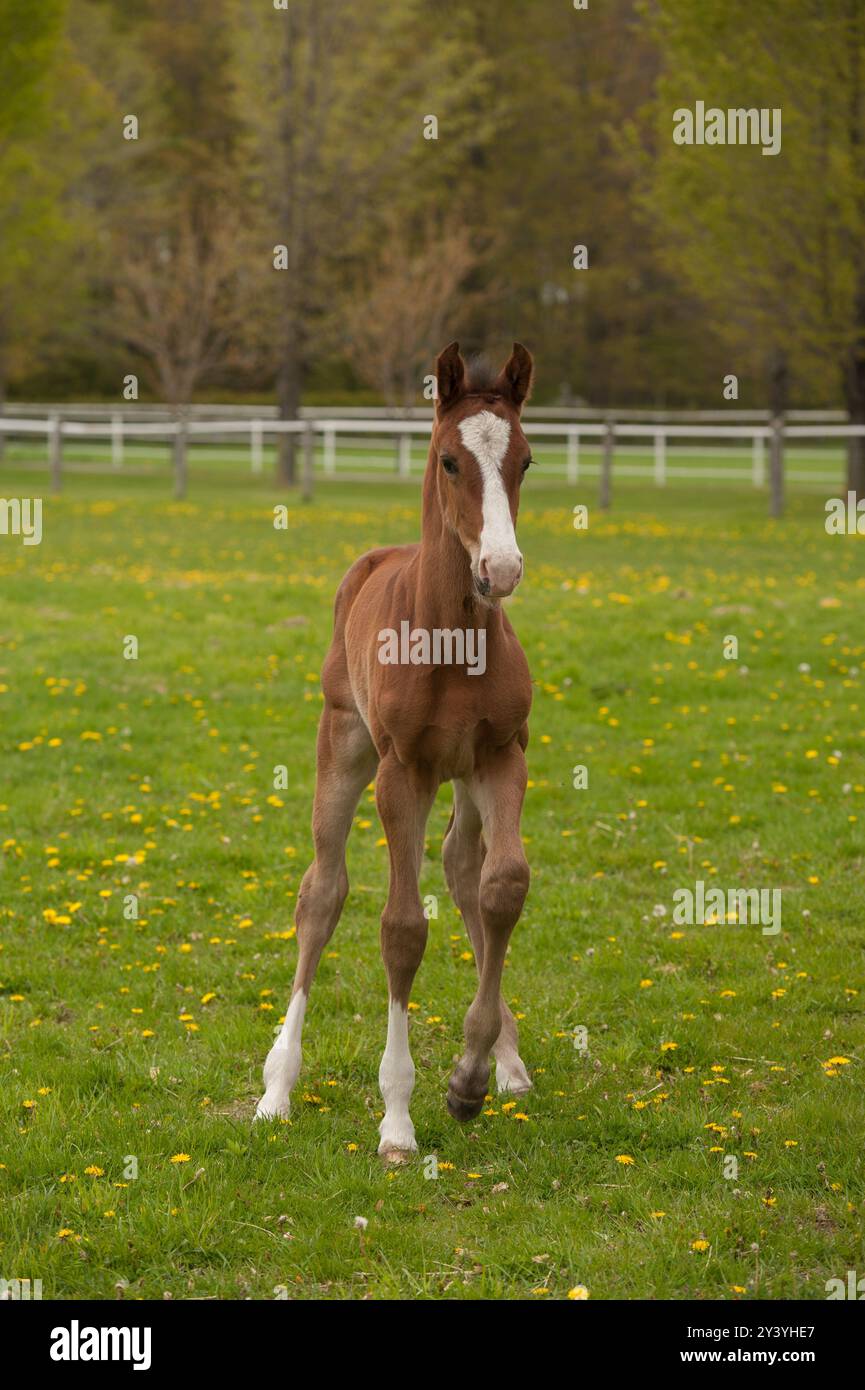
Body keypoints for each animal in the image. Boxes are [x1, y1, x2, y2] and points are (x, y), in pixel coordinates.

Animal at [255, 341, 535, 1158]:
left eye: (526, 460)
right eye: (449, 460)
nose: (501, 569)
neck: (450, 636)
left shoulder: (502, 755)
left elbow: (503, 886)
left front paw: (470, 1077)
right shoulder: (400, 771)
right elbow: (402, 928)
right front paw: (398, 1117)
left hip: (464, 779)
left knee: (465, 869)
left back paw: (506, 1063)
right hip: (343, 743)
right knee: (322, 892)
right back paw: (277, 1087)